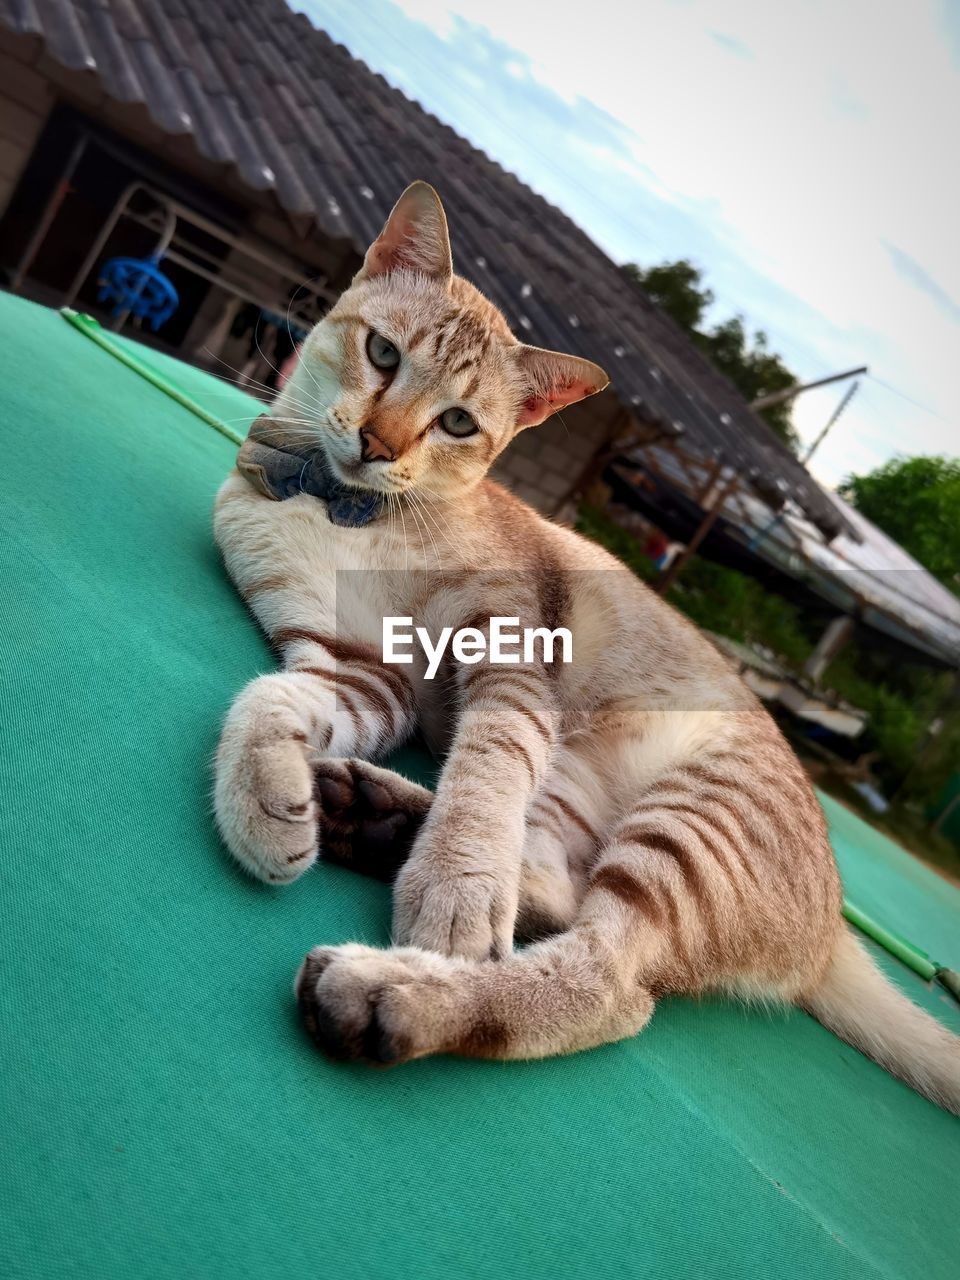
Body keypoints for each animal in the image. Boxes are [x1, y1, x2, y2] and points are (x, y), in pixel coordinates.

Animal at [212, 180, 960, 1111]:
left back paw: (394, 989)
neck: (351, 514)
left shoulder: (509, 665)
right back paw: (370, 815)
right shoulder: (358, 669)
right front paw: (263, 798)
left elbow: (483, 786)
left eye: (458, 422)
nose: (378, 445)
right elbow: (270, 696)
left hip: (684, 827)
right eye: (381, 354)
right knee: (546, 881)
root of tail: (831, 930)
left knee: (608, 980)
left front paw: (449, 893)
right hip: (580, 781)